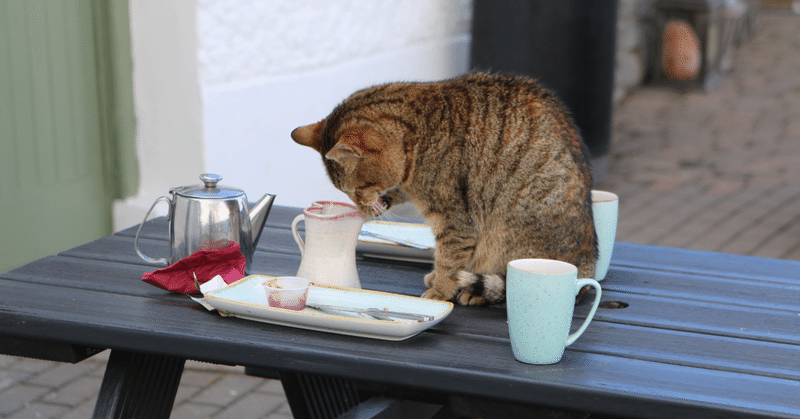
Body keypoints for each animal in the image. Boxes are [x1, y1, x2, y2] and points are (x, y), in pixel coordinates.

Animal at [290, 72, 596, 306]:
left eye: (357, 188)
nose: (360, 208)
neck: (419, 134)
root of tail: (587, 266)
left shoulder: (454, 221)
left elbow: (449, 261)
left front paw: (441, 290)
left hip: (506, 236)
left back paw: (474, 292)